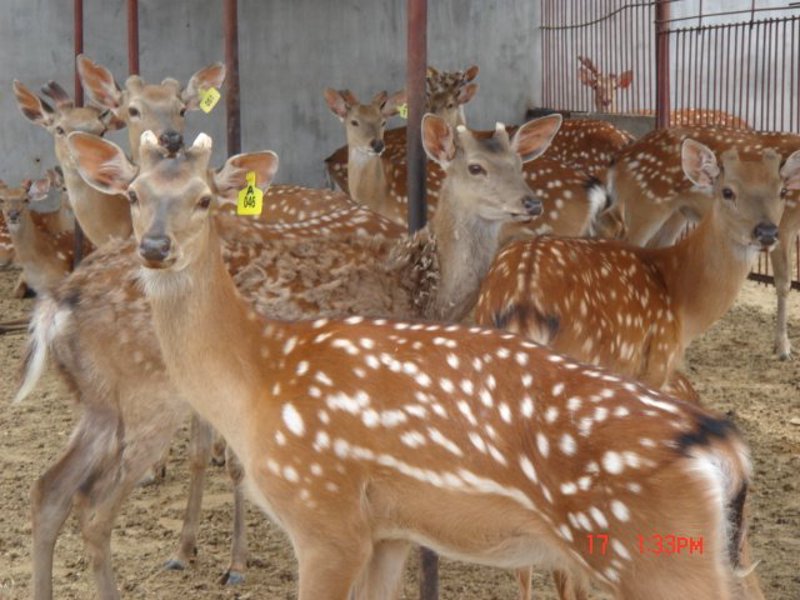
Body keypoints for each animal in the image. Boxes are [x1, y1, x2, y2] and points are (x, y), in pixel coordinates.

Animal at [13, 113, 559, 599]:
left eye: (520, 163)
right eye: (476, 168)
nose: (530, 202)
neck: (423, 289)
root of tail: (58, 303)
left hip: (99, 404)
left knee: (48, 491)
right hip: (149, 397)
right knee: (94, 507)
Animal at [608, 126, 800, 360]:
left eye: (783, 191)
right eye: (728, 192)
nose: (767, 231)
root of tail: (619, 158)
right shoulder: (786, 224)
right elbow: (783, 283)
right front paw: (783, 348)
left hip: (676, 213)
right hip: (643, 205)